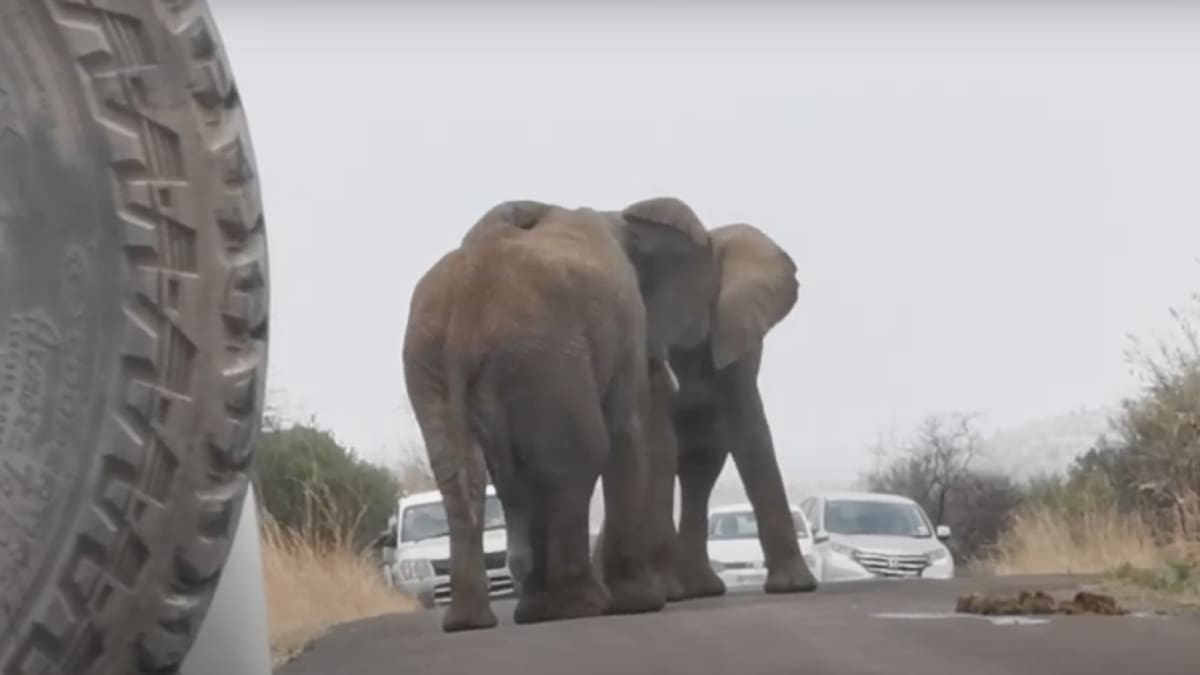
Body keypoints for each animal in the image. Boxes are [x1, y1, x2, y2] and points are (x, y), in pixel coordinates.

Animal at [401, 196, 718, 632]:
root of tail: (467, 305)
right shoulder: (628, 323)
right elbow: (625, 430)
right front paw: (640, 604)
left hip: (433, 358)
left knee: (465, 474)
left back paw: (476, 621)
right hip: (547, 349)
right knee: (578, 456)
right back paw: (575, 607)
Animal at [592, 222, 818, 601]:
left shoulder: (735, 333)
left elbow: (751, 434)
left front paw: (795, 587)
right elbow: (659, 443)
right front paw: (665, 589)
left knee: (702, 468)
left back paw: (699, 588)